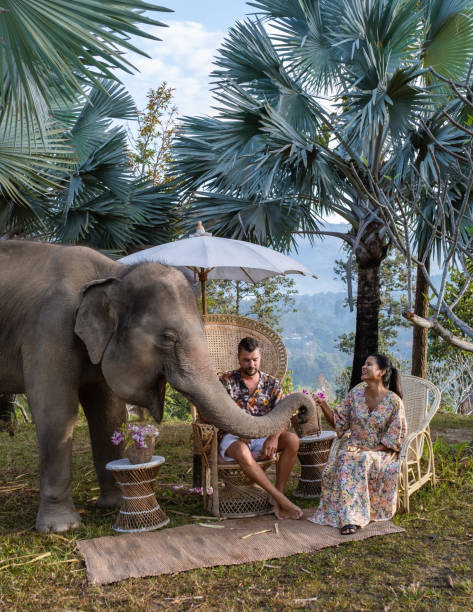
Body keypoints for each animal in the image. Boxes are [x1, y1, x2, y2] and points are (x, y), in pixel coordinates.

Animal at [0, 239, 314, 532]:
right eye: (168, 337)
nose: (304, 409)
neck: (113, 274)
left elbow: (108, 413)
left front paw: (114, 503)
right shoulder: (49, 330)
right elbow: (56, 411)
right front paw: (62, 527)